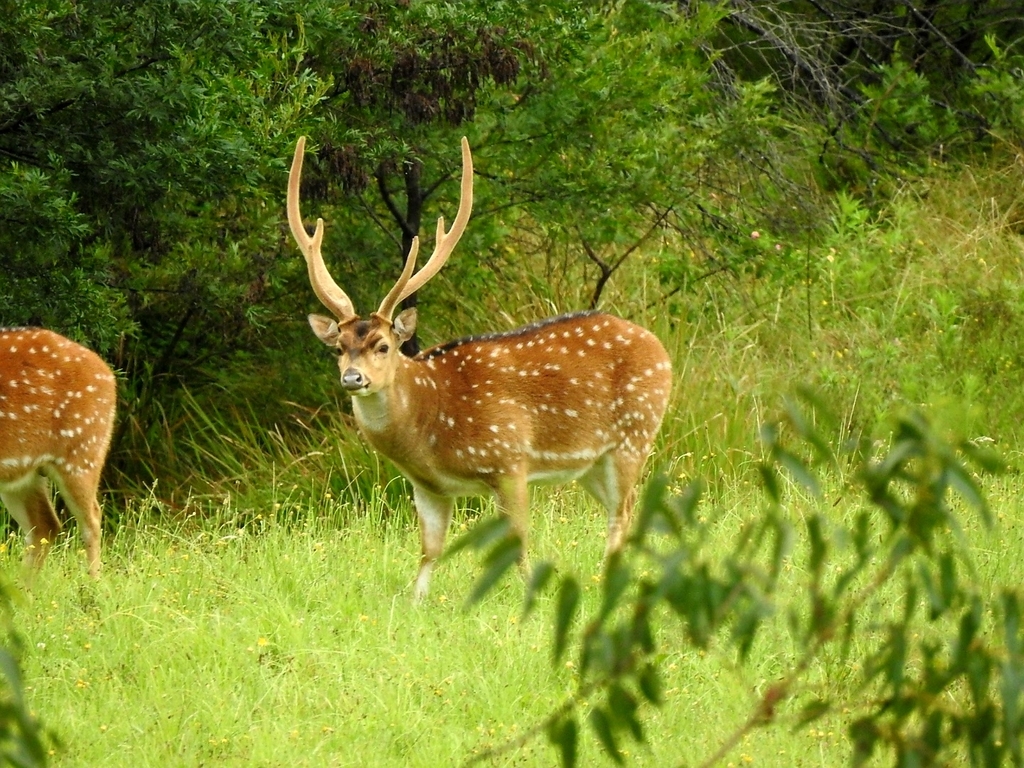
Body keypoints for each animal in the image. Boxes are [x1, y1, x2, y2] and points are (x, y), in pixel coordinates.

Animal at [0, 329, 116, 577]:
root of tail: (108, 373)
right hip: (25, 475)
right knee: (46, 525)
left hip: (83, 452)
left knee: (92, 518)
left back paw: (94, 583)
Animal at [288, 137, 671, 602]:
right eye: (339, 348)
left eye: (383, 345)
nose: (353, 378)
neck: (430, 421)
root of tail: (660, 348)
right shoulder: (426, 486)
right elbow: (429, 550)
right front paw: (416, 604)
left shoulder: (509, 458)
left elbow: (517, 541)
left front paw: (528, 596)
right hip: (592, 463)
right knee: (624, 510)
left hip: (635, 435)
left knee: (623, 512)